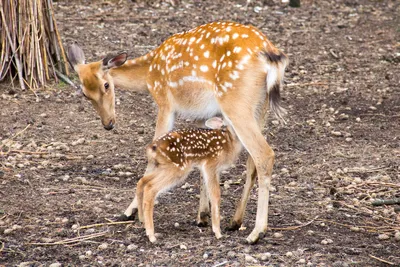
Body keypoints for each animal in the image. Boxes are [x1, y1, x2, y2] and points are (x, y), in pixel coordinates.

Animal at [69, 22, 288, 244]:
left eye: (106, 85)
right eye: (85, 94)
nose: (108, 124)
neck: (148, 74)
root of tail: (271, 54)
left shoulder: (164, 102)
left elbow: (154, 149)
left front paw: (130, 211)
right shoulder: (203, 115)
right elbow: (203, 158)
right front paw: (202, 215)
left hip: (235, 102)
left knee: (264, 154)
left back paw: (256, 232)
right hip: (260, 108)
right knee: (253, 161)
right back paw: (235, 221)